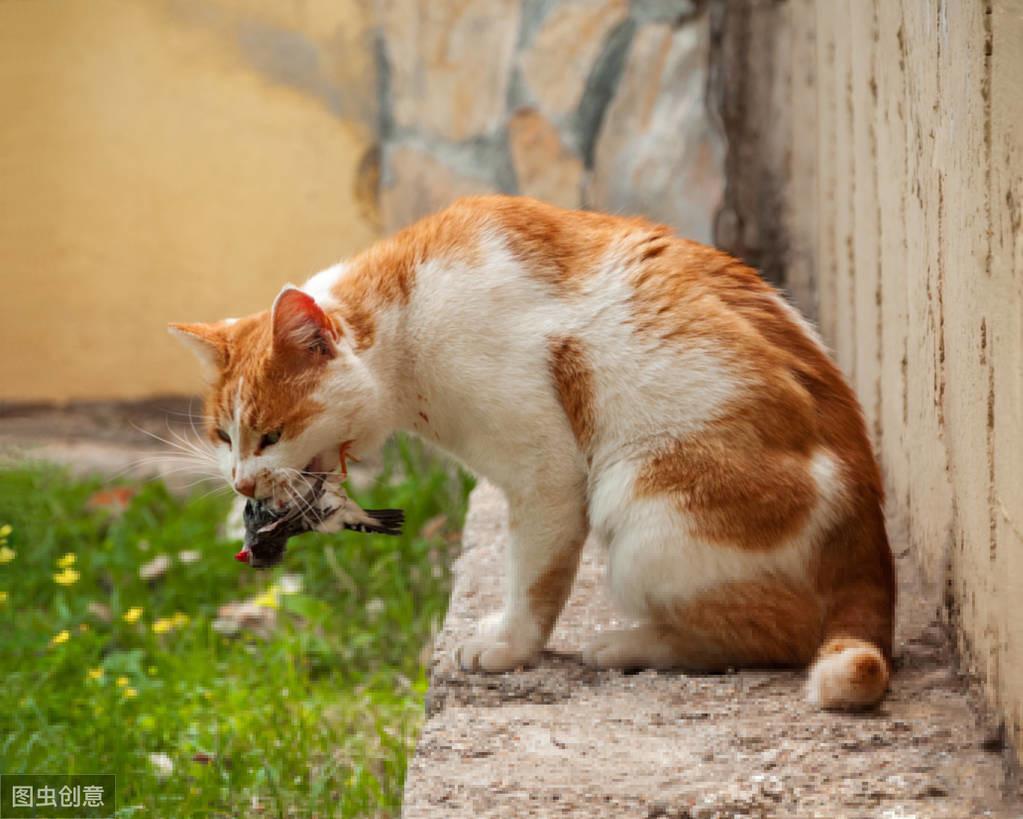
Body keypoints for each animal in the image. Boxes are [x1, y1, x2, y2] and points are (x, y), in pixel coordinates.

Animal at [173, 195, 896, 707]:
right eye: (223, 436)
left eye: (270, 433)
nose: (241, 484)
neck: (405, 316)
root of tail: (870, 530)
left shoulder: (544, 472)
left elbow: (534, 576)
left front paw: (507, 646)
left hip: (638, 500)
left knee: (782, 631)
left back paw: (627, 644)